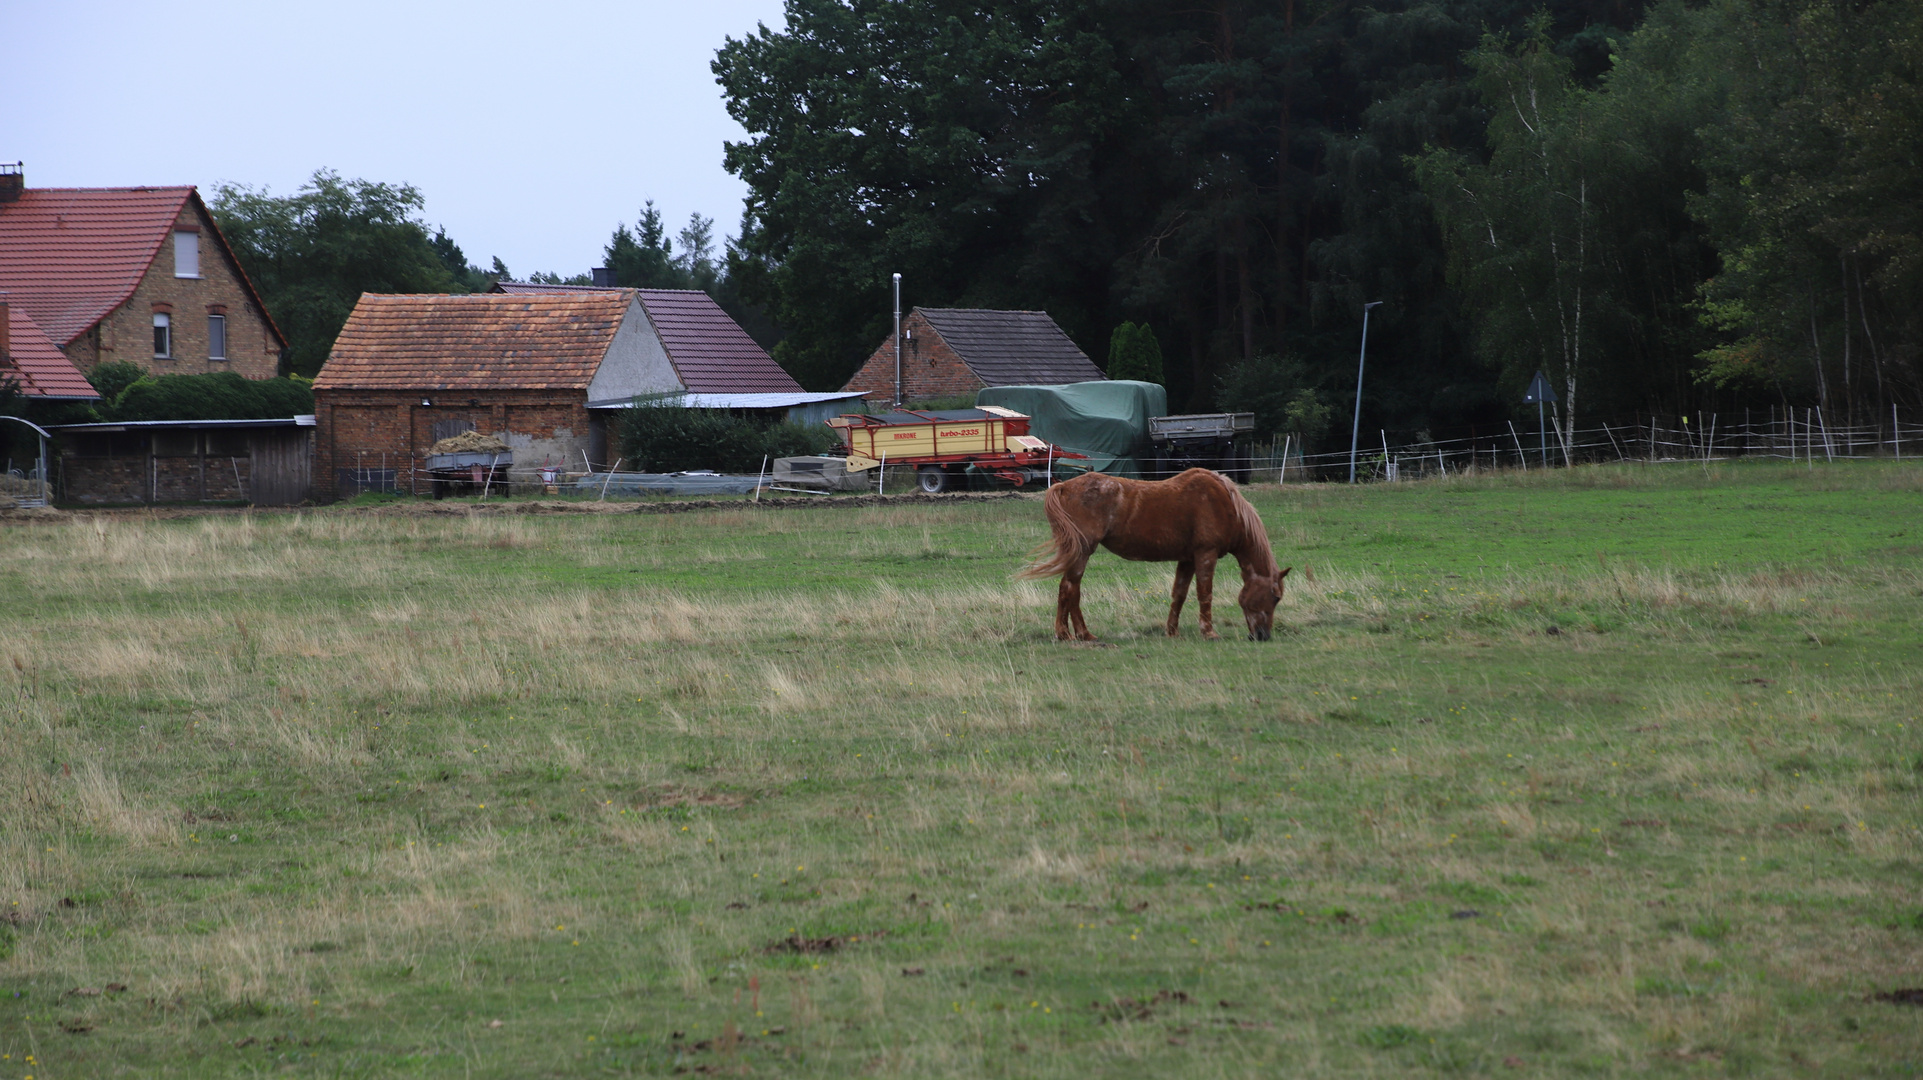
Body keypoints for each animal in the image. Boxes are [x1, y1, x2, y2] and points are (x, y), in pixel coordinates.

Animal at [1023, 465, 1292, 638]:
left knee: (1071, 590)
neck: (1225, 503)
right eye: (1275, 597)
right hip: (1082, 553)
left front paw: (1172, 631)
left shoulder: (1188, 559)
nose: (1262, 636)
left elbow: (1179, 594)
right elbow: (1205, 593)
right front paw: (1209, 632)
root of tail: (1063, 486)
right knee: (1069, 588)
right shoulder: (1206, 554)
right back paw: (1073, 634)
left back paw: (1075, 633)